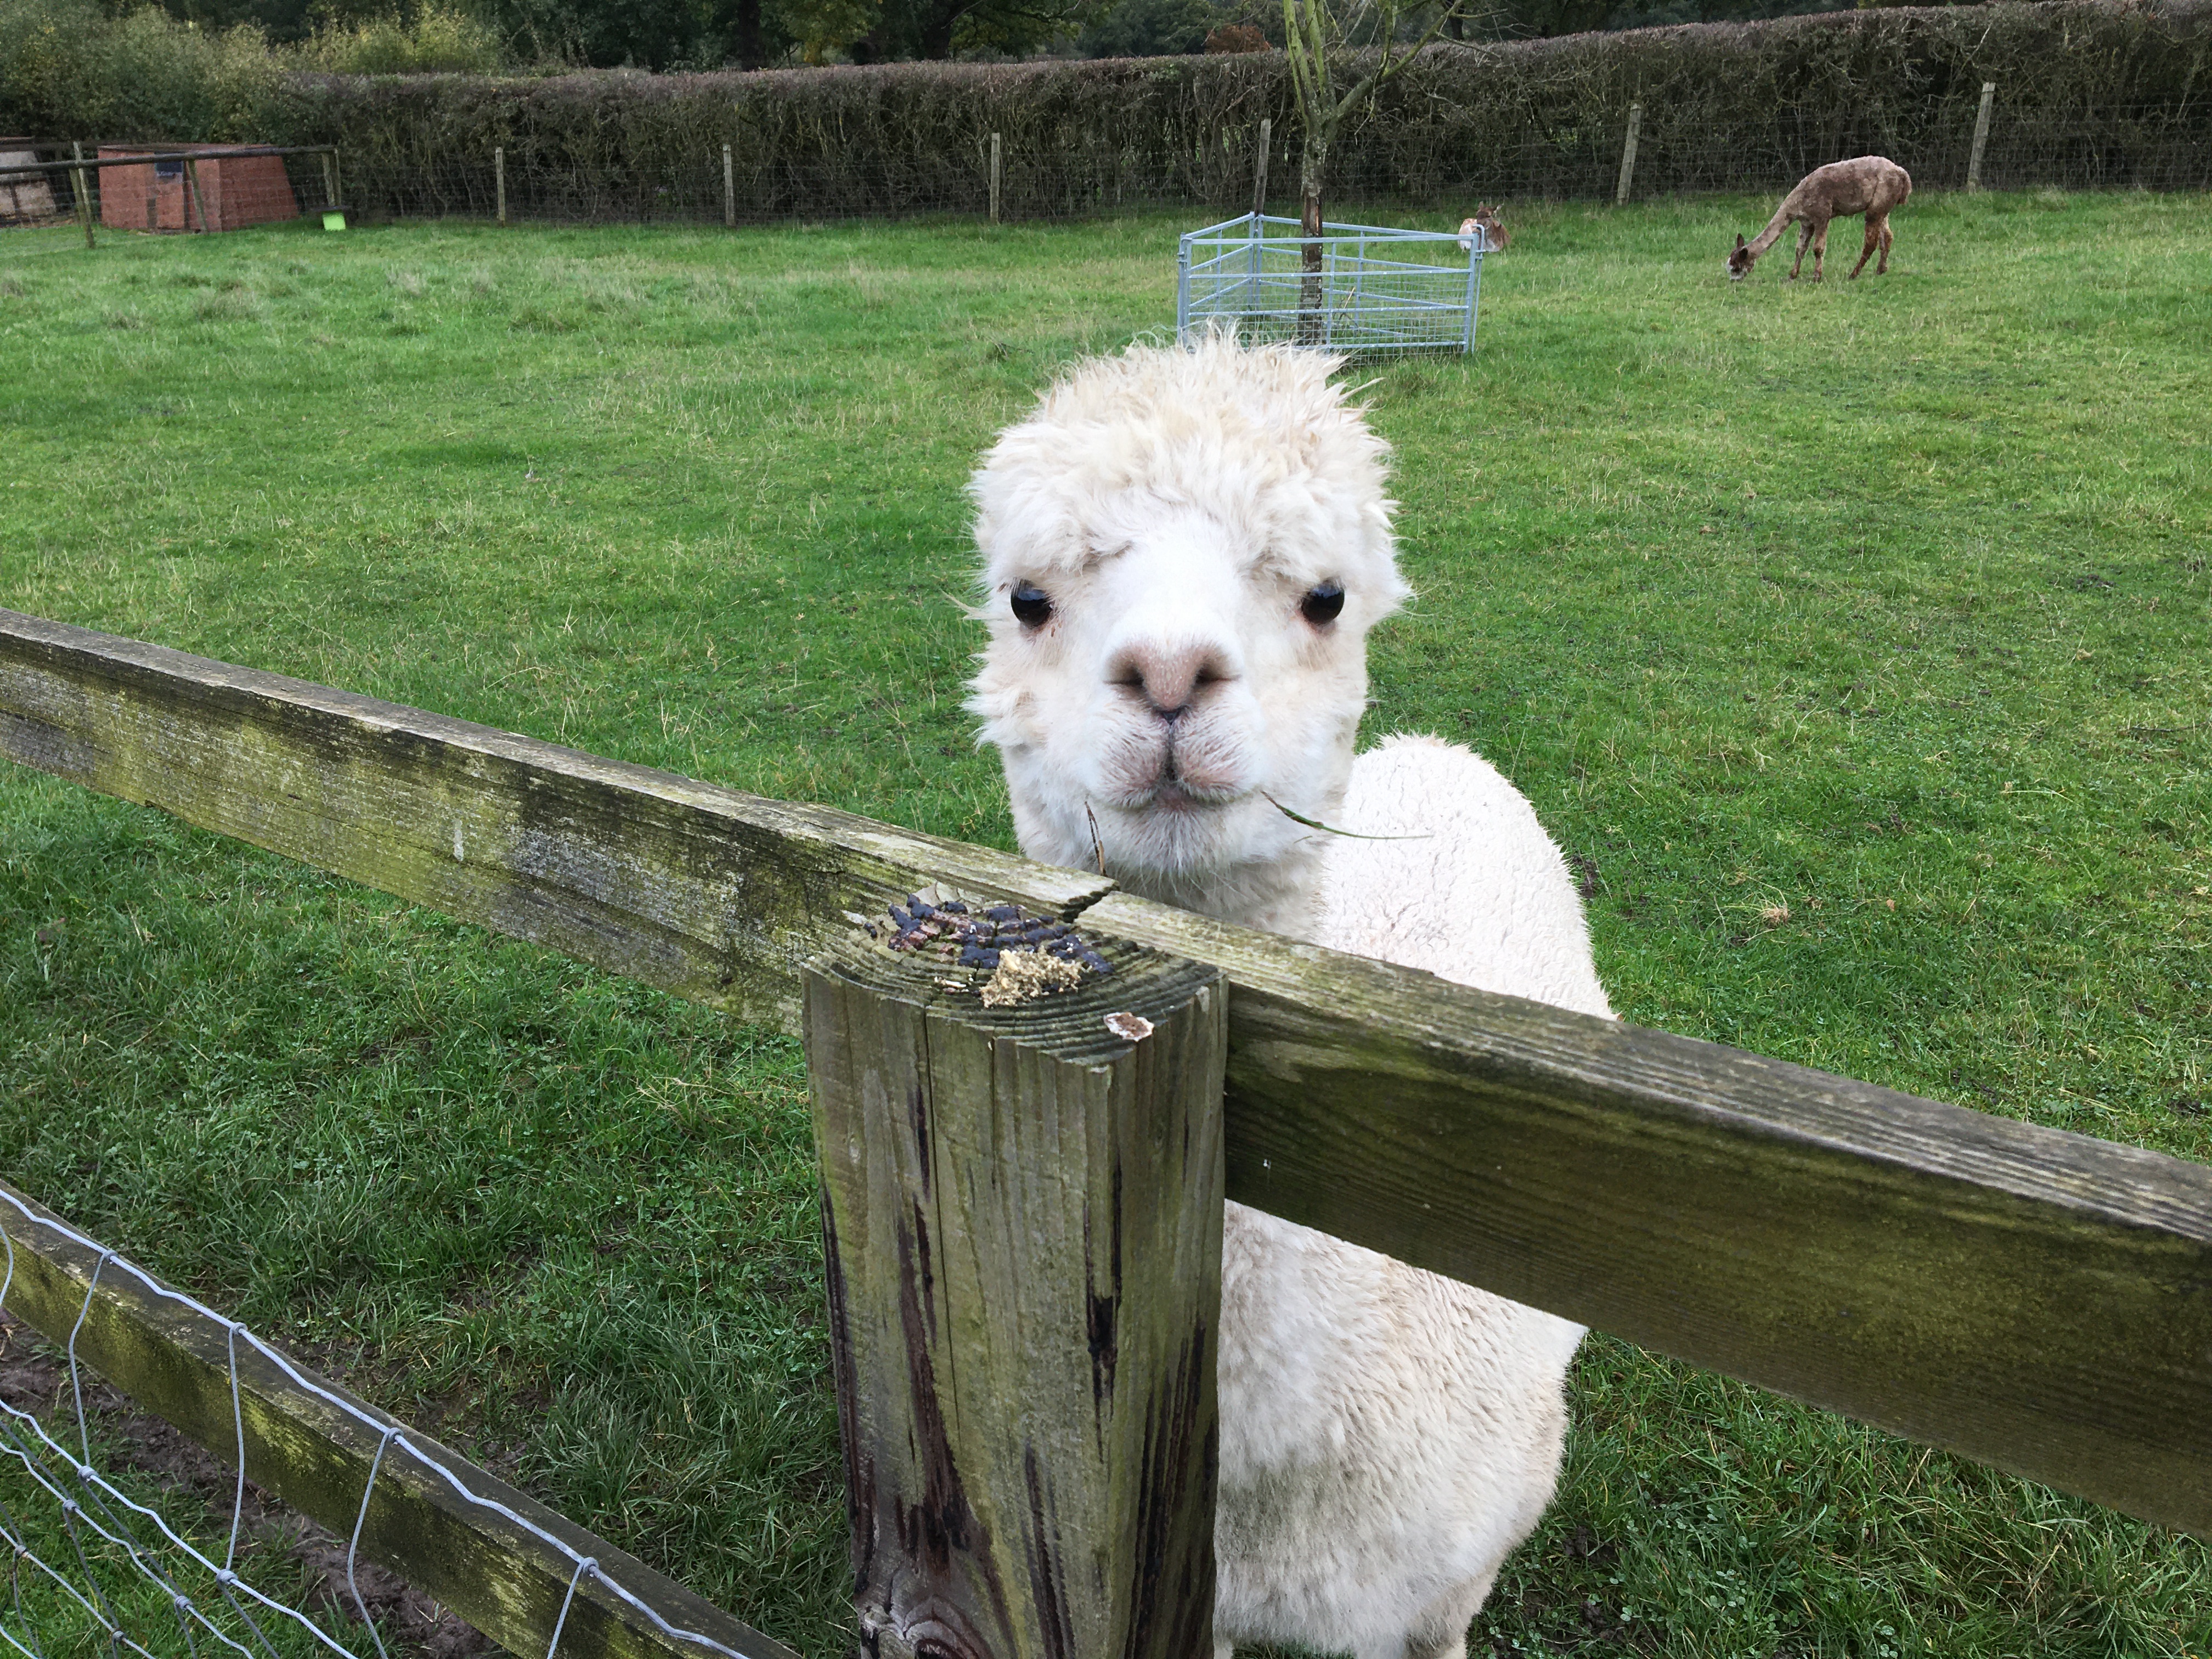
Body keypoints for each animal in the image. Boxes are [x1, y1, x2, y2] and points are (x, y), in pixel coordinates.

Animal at [1727, 156, 1911, 282]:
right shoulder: (1806, 222)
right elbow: (1800, 249)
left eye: (1736, 268)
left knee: (1871, 241)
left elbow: (1818, 249)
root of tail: (1903, 174)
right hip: (1883, 206)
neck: (1799, 201)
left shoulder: (1822, 215)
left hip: (1879, 201)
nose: (1733, 281)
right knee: (1887, 236)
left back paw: (1853, 274)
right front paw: (1793, 275)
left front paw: (1817, 277)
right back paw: (1881, 270)